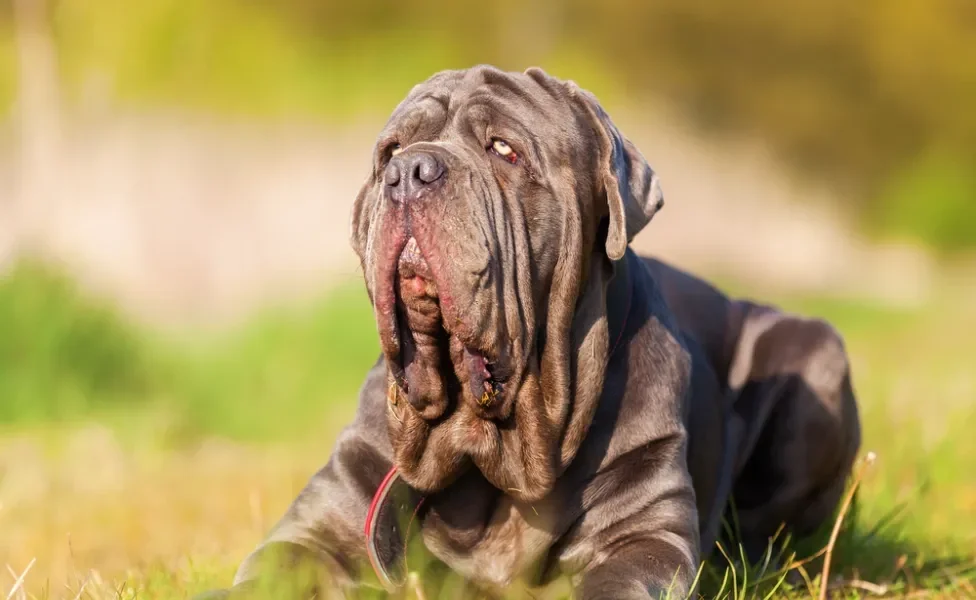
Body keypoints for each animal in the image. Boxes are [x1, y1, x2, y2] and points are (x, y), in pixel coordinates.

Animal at [202, 65, 856, 600]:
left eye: (504, 149)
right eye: (391, 150)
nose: (410, 170)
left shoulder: (644, 538)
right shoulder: (319, 525)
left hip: (815, 357)